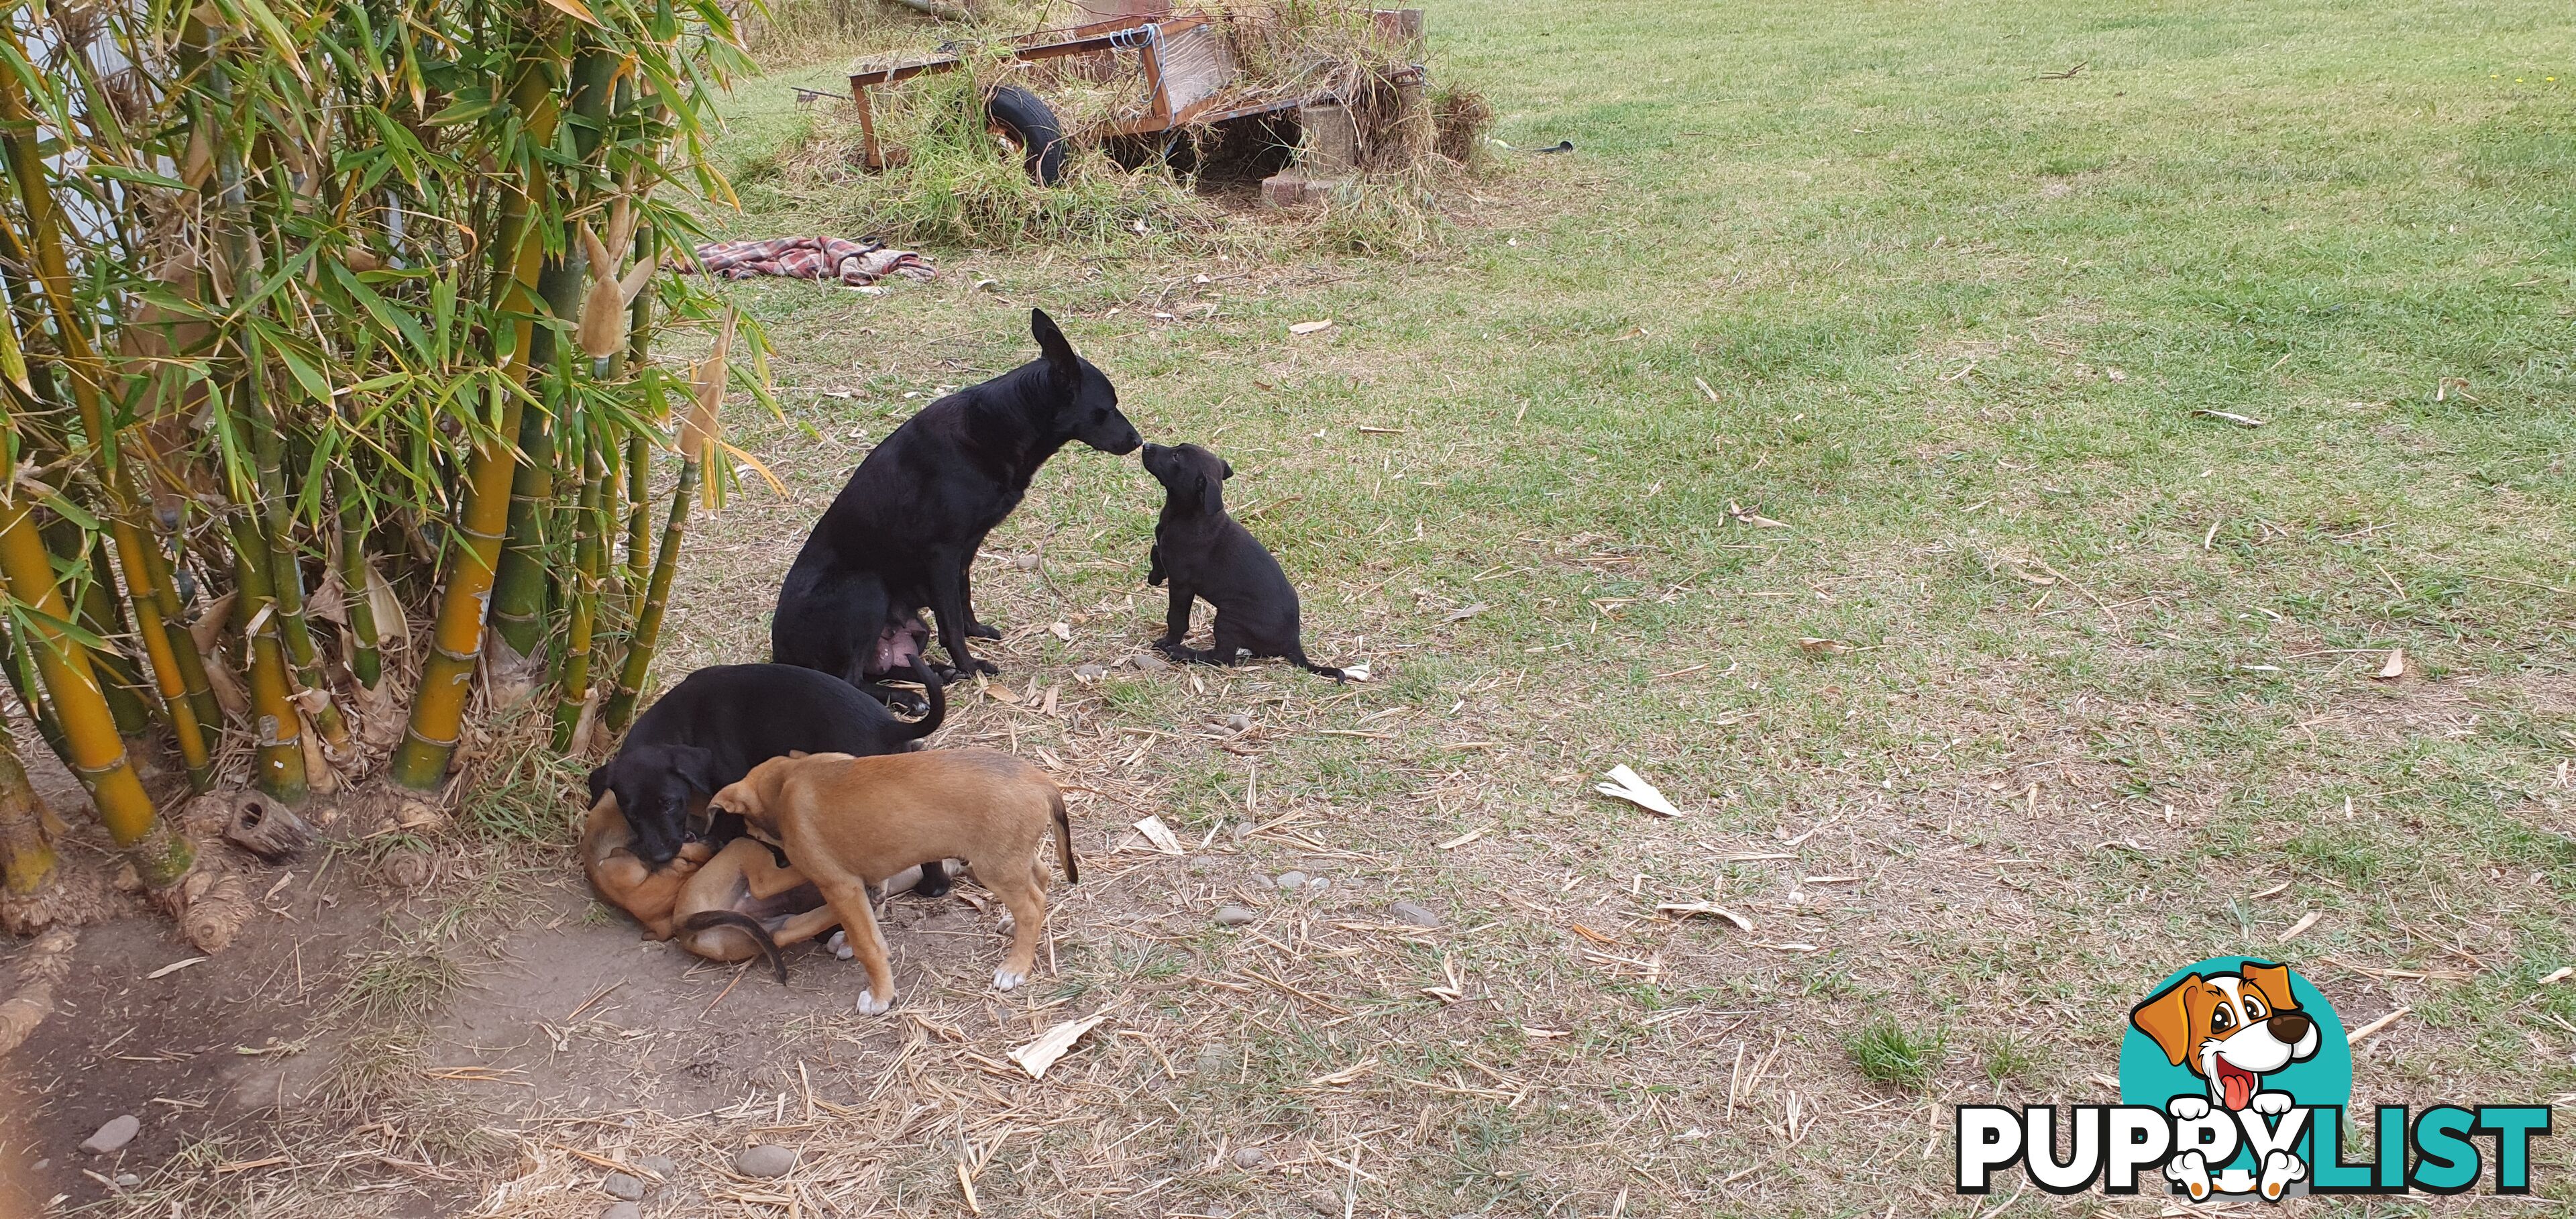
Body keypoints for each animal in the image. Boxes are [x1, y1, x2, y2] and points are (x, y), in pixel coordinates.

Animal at [590, 659, 953, 886]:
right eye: (632, 814)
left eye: (669, 804)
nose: (661, 856)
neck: (680, 721)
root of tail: (888, 726)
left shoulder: (729, 786)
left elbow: (726, 824)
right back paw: (934, 888)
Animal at [706, 747, 1077, 1010]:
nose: (780, 860)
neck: (788, 779)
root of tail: (1040, 780)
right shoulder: (863, 882)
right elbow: (870, 922)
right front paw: (848, 942)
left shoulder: (840, 886)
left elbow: (868, 944)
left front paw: (880, 995)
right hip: (1010, 857)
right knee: (1040, 877)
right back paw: (1014, 927)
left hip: (994, 865)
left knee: (1031, 906)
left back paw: (1015, 966)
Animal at [767, 309, 1143, 700]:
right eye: (1107, 409)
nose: (1138, 441)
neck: (1000, 423)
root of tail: (782, 655)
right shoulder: (942, 552)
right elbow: (950, 621)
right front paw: (970, 665)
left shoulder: (967, 548)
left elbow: (962, 599)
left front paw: (975, 633)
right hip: (866, 590)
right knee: (852, 680)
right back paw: (912, 696)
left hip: (914, 628)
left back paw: (937, 674)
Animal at [1148, 440, 1350, 680]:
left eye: (1177, 457)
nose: (1146, 445)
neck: (1188, 515)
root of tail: (1294, 644)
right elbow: (1155, 550)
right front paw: (1154, 575)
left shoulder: (1181, 585)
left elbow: (1176, 618)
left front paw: (1168, 642)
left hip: (1228, 619)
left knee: (1223, 658)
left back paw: (1182, 652)